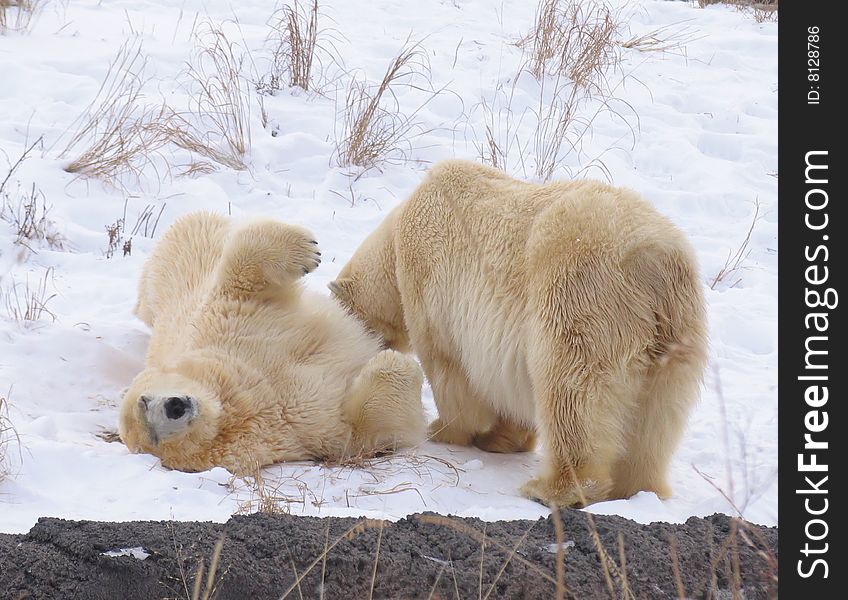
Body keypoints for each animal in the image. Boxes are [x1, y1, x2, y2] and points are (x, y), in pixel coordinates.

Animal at [119, 211, 424, 474]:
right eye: (153, 435)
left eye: (144, 401)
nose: (175, 406)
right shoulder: (303, 430)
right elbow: (369, 428)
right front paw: (394, 362)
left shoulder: (223, 324)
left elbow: (239, 276)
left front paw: (308, 250)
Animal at [332, 159, 708, 506]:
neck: (399, 233)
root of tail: (655, 261)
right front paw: (504, 439)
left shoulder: (431, 283)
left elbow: (448, 367)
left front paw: (446, 429)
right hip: (675, 332)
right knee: (656, 415)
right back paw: (636, 488)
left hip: (581, 293)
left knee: (571, 389)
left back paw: (553, 488)